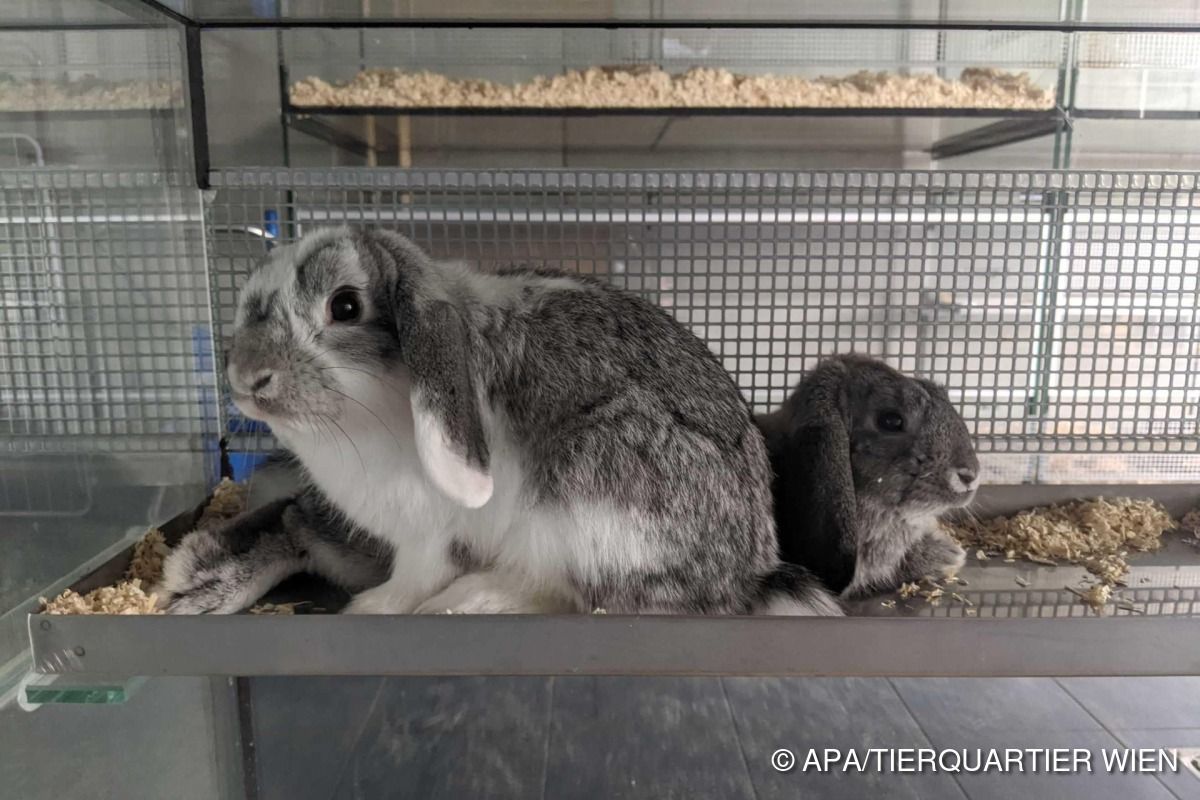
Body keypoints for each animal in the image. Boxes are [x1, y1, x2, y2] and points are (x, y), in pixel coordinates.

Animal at [162, 226, 840, 616]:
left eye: (346, 306)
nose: (246, 378)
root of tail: (750, 573)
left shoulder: (430, 537)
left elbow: (415, 578)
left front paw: (372, 609)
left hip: (587, 498)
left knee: (564, 592)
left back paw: (467, 602)